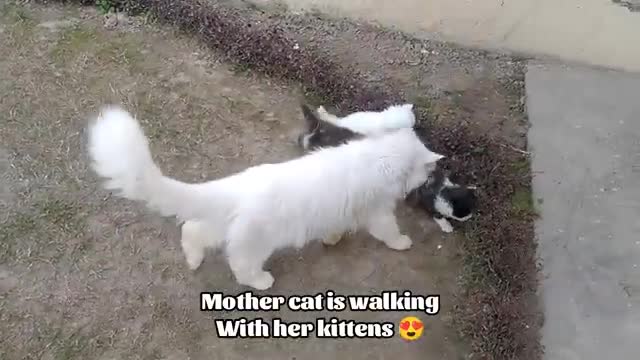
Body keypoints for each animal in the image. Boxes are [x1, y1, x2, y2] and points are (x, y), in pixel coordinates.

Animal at [87, 104, 442, 290]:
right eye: (425, 174)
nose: (426, 181)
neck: (380, 156)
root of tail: (236, 185)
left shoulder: (345, 210)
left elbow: (335, 227)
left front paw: (331, 239)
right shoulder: (378, 212)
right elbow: (389, 231)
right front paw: (402, 243)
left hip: (220, 226)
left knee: (191, 229)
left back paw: (193, 258)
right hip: (255, 244)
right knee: (240, 266)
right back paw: (261, 281)